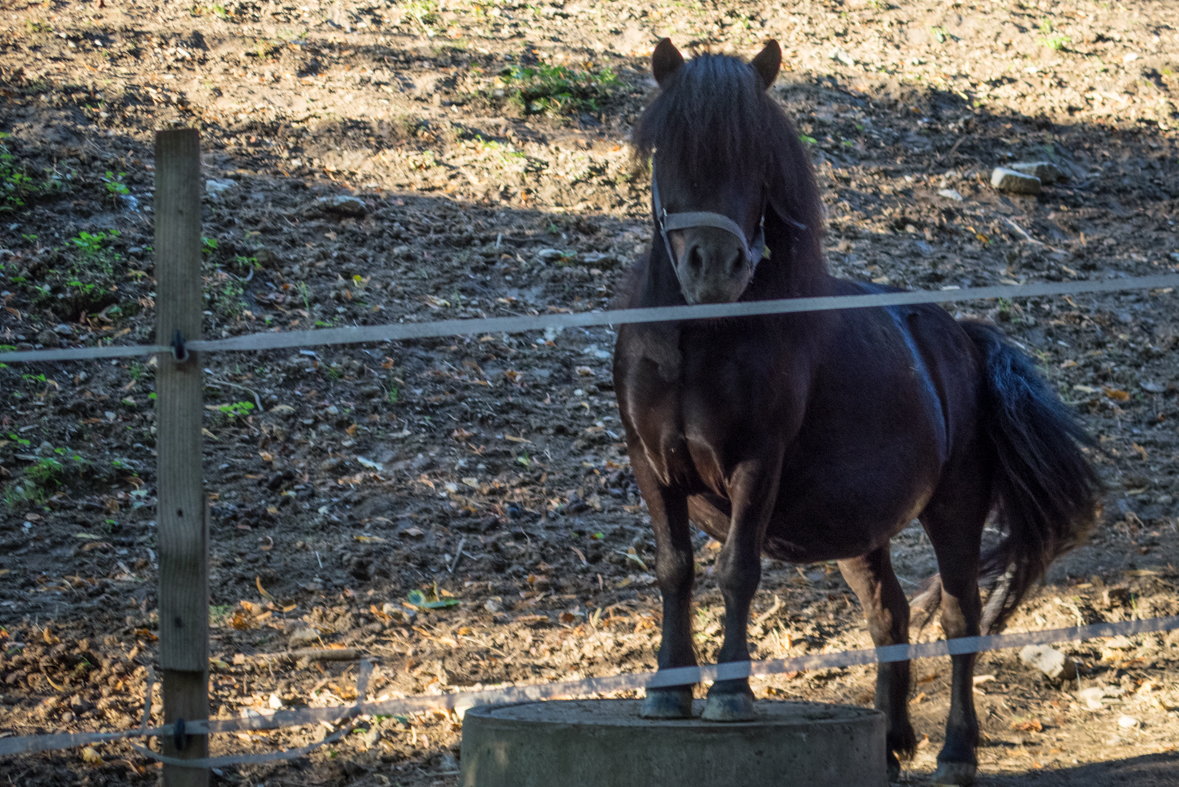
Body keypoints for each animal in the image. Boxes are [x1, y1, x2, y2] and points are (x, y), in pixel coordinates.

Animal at [613, 40, 1098, 782]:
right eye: (673, 146)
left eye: (758, 154)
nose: (714, 266)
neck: (697, 342)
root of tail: (961, 338)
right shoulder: (651, 464)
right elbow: (675, 568)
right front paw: (667, 692)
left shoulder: (757, 465)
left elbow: (736, 571)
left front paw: (730, 692)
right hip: (860, 532)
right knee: (888, 615)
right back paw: (892, 742)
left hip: (953, 508)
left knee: (957, 619)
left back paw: (955, 752)